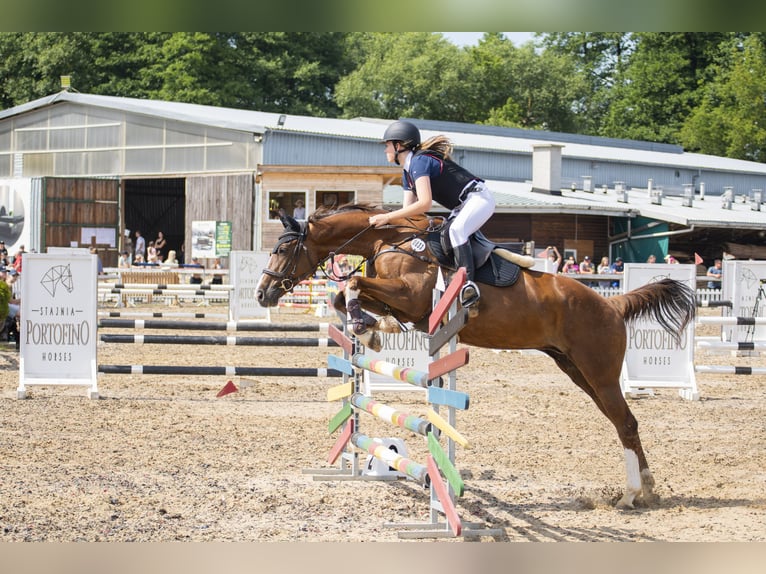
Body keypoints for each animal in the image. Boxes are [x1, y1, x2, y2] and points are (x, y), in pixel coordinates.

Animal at [255, 205, 700, 510]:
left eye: (285, 248)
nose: (263, 293)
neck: (388, 239)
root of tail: (612, 304)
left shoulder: (411, 296)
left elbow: (353, 286)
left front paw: (372, 329)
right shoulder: (401, 300)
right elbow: (345, 295)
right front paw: (373, 328)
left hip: (600, 373)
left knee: (625, 422)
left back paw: (631, 495)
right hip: (577, 371)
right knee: (623, 423)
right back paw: (646, 488)